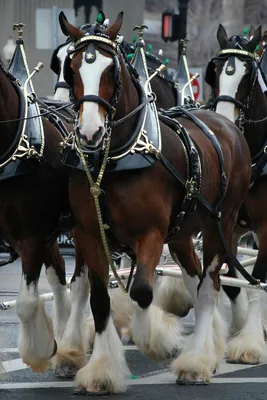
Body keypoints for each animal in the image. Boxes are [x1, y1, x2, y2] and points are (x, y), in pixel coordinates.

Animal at [59, 11, 253, 394]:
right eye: (71, 68)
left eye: (111, 69)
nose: (90, 133)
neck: (117, 158)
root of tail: (224, 123)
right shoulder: (89, 234)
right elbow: (99, 300)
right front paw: (100, 369)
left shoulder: (150, 233)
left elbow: (143, 291)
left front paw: (158, 342)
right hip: (182, 233)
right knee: (195, 279)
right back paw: (208, 349)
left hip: (219, 226)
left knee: (209, 286)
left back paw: (197, 361)